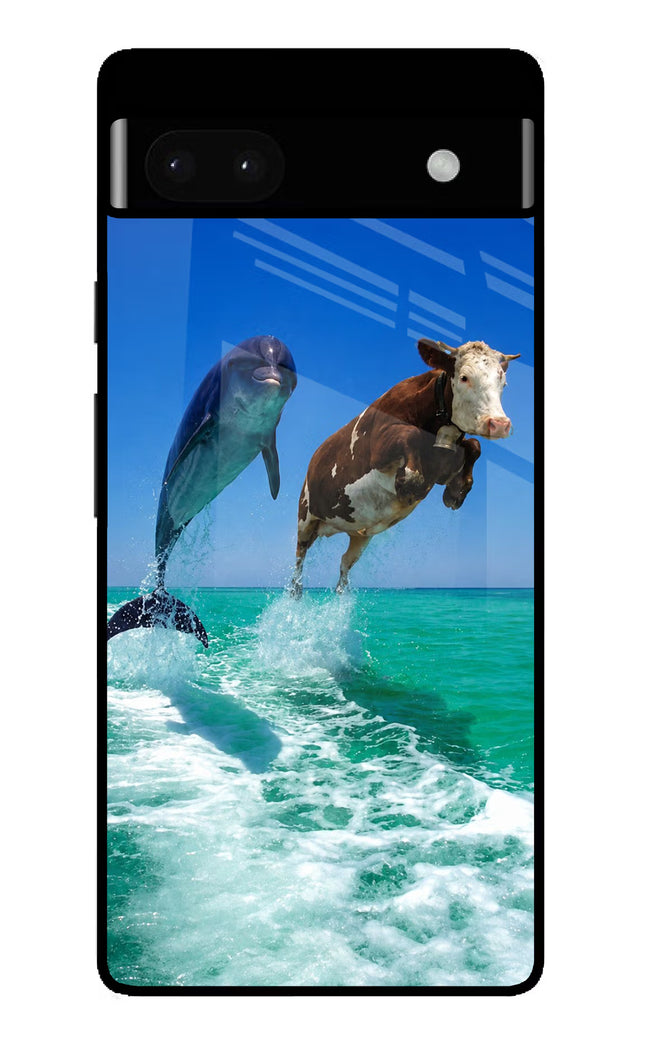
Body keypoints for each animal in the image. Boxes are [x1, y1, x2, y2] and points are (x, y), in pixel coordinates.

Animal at [289, 338, 520, 597]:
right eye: (464, 377)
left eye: (503, 381)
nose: (499, 424)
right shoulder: (379, 445)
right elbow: (409, 435)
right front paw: (408, 483)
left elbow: (474, 445)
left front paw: (457, 491)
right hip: (305, 516)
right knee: (299, 557)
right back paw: (296, 592)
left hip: (359, 534)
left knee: (344, 563)